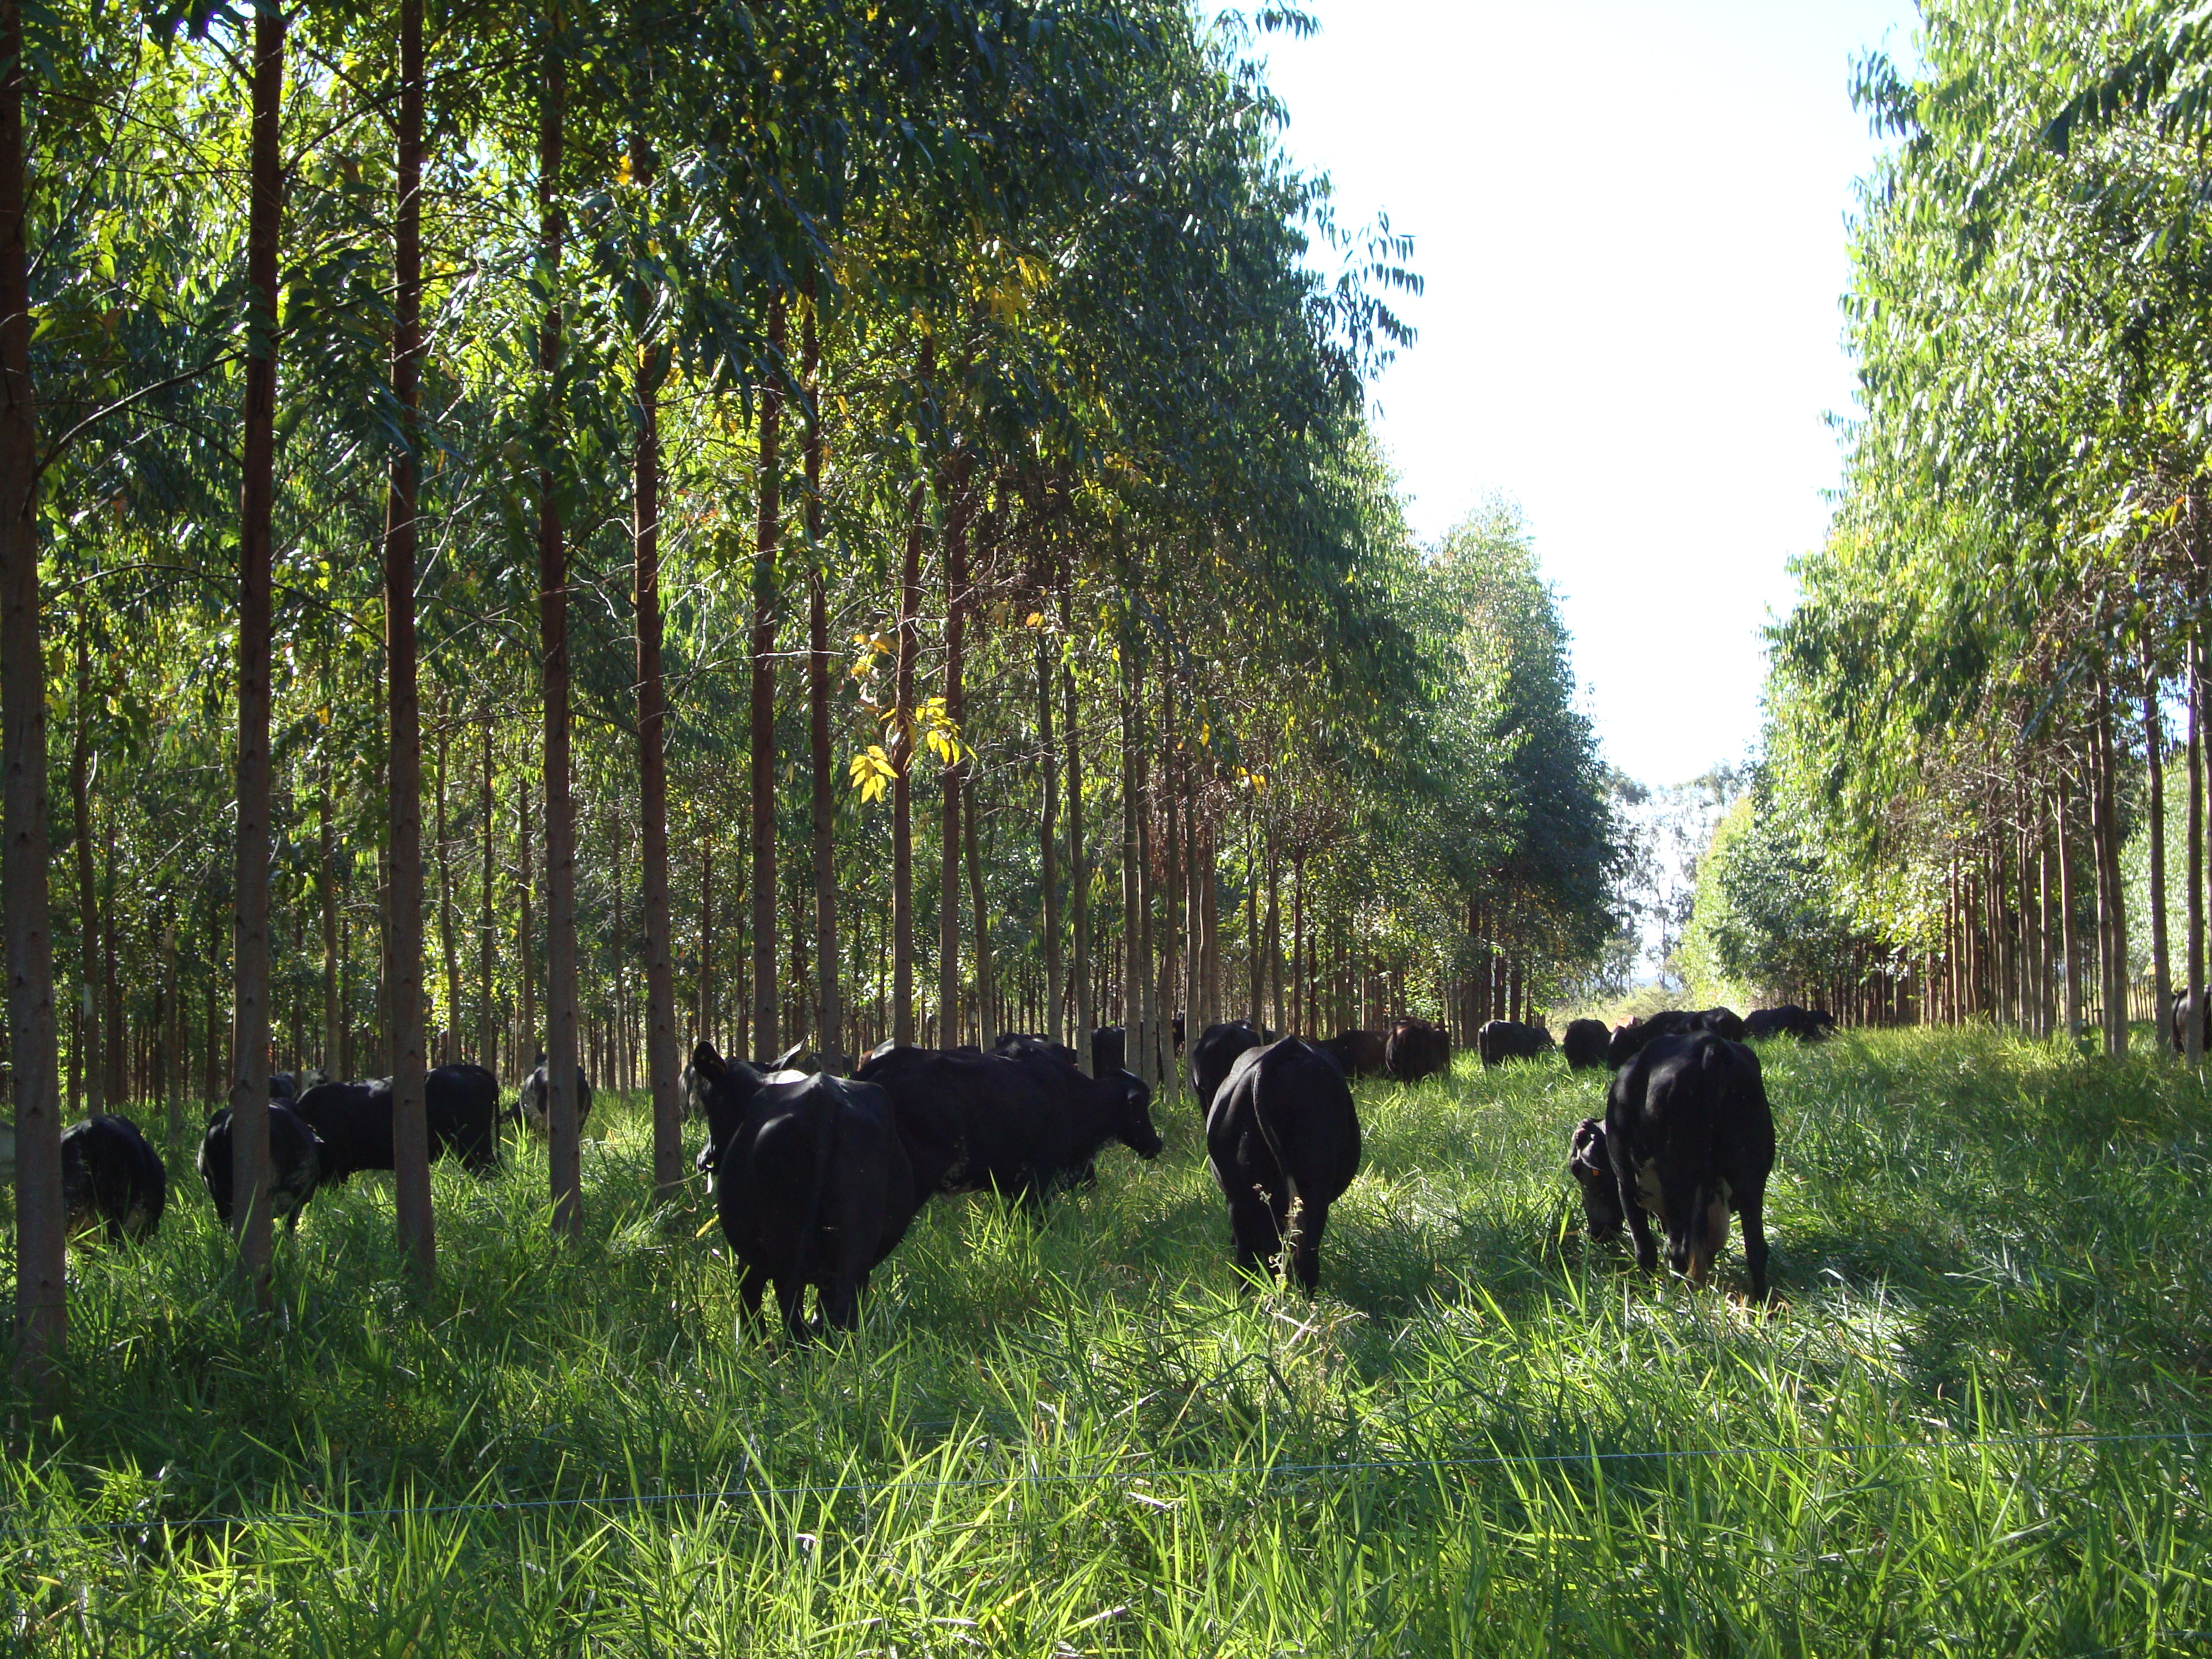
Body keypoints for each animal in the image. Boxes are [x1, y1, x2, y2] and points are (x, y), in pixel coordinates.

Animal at [688, 1041, 917, 1340]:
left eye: (709, 1102)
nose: (704, 1158)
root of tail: (822, 1098)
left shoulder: (750, 1259)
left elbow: (750, 1309)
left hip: (783, 1241)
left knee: (793, 1318)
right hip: (858, 1239)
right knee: (841, 1316)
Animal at [1567, 1030, 1774, 1299]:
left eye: (1577, 1170)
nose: (1596, 1232)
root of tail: (1709, 1045)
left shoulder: (1627, 1188)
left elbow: (1645, 1249)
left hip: (1676, 1182)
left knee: (1677, 1250)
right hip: (1749, 1174)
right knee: (1756, 1249)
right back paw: (1760, 1302)